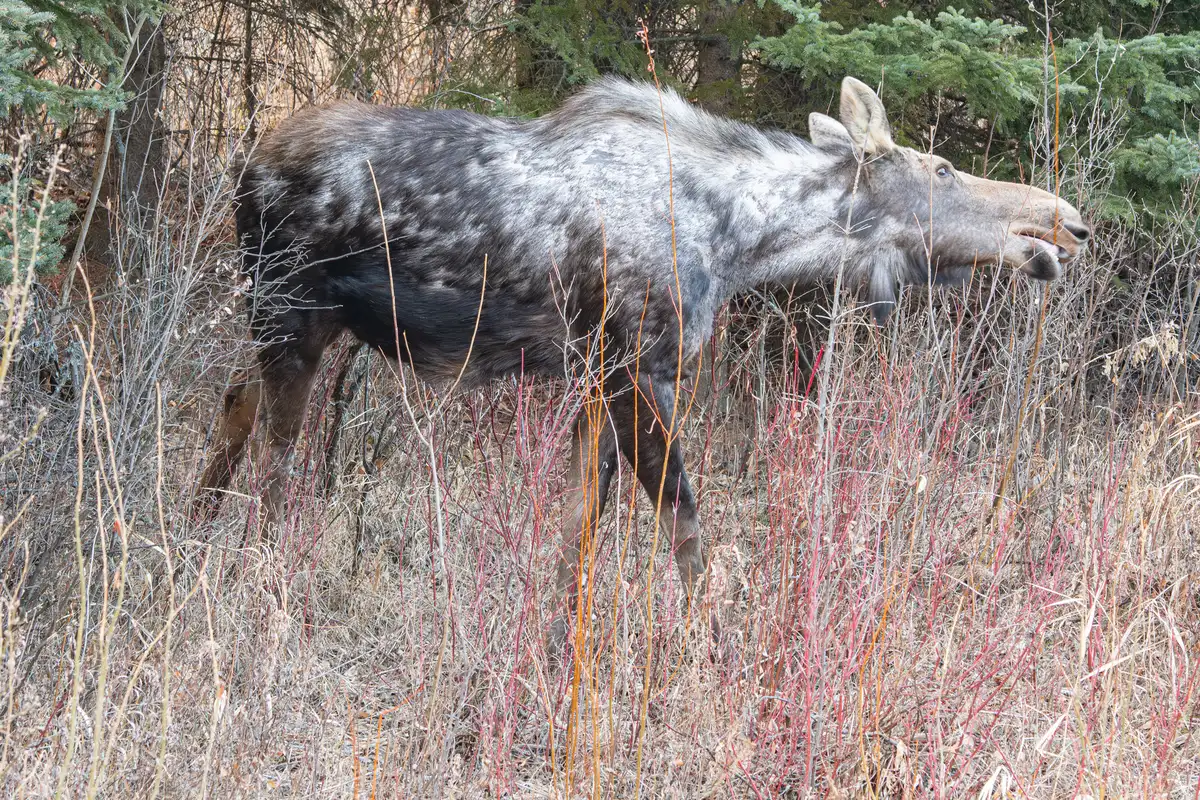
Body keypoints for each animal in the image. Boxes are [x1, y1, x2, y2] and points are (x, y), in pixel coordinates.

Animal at [194, 75, 1089, 645]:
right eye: (942, 168)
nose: (1069, 222)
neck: (743, 237)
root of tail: (246, 166)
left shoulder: (595, 378)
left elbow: (580, 526)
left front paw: (557, 637)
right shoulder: (637, 366)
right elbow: (685, 522)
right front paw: (711, 648)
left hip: (297, 322)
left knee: (234, 404)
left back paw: (195, 540)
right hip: (292, 313)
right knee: (276, 459)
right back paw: (263, 589)